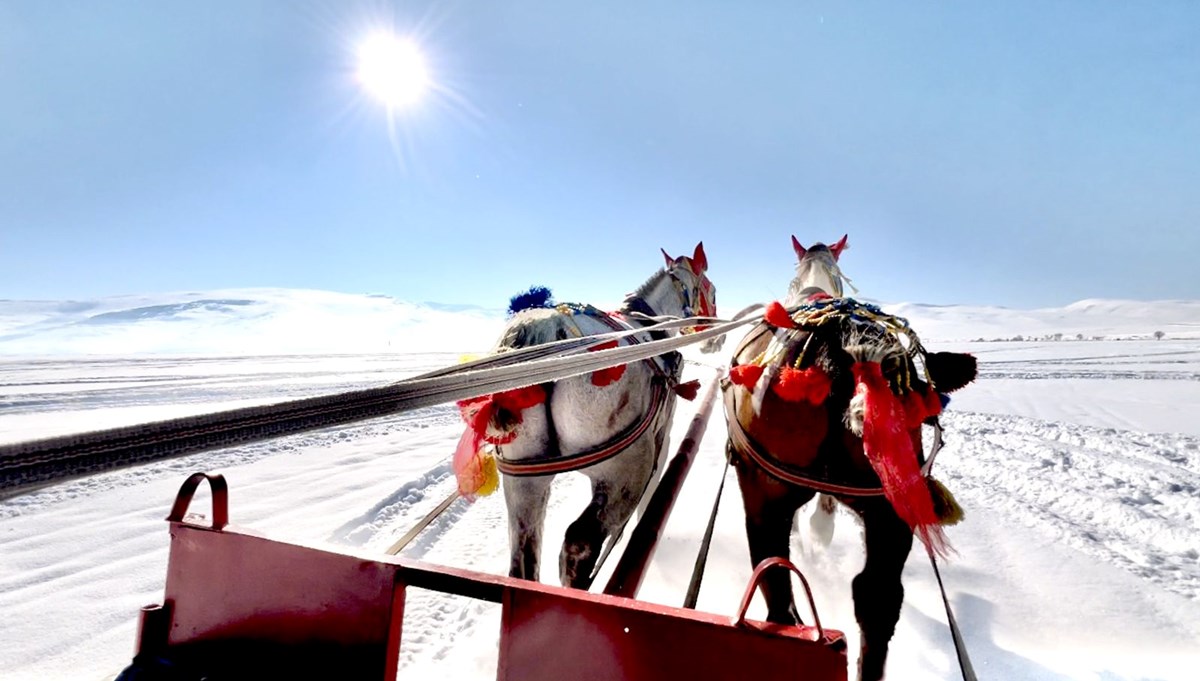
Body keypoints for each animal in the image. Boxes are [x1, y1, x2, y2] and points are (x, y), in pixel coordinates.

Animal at [456, 242, 720, 587]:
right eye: (712, 289)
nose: (717, 337)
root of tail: (546, 330)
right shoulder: (661, 440)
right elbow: (650, 498)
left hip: (524, 478)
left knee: (524, 554)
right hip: (623, 470)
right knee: (579, 542)